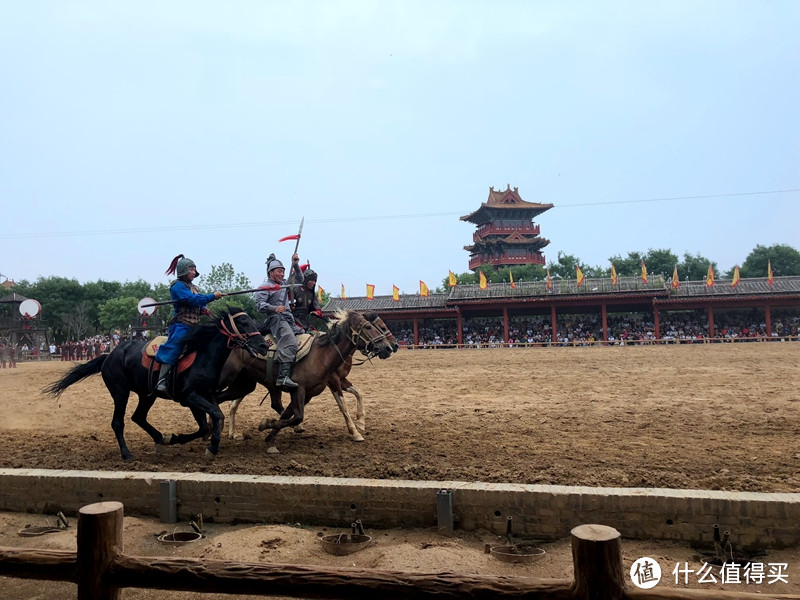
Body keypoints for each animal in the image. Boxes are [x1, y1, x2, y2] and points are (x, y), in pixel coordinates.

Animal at [43, 308, 268, 462]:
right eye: (244, 322)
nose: (264, 345)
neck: (203, 355)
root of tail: (109, 355)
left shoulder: (204, 397)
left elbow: (207, 424)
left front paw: (178, 438)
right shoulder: (190, 397)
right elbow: (216, 417)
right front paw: (211, 448)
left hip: (147, 395)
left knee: (138, 417)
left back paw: (161, 438)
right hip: (120, 392)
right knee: (118, 423)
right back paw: (127, 454)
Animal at [217, 312, 396, 452]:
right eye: (371, 327)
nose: (389, 347)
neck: (322, 354)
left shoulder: (312, 391)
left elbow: (289, 414)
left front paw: (360, 423)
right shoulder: (319, 385)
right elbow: (337, 407)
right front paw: (355, 431)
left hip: (246, 384)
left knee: (240, 402)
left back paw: (231, 432)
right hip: (229, 379)